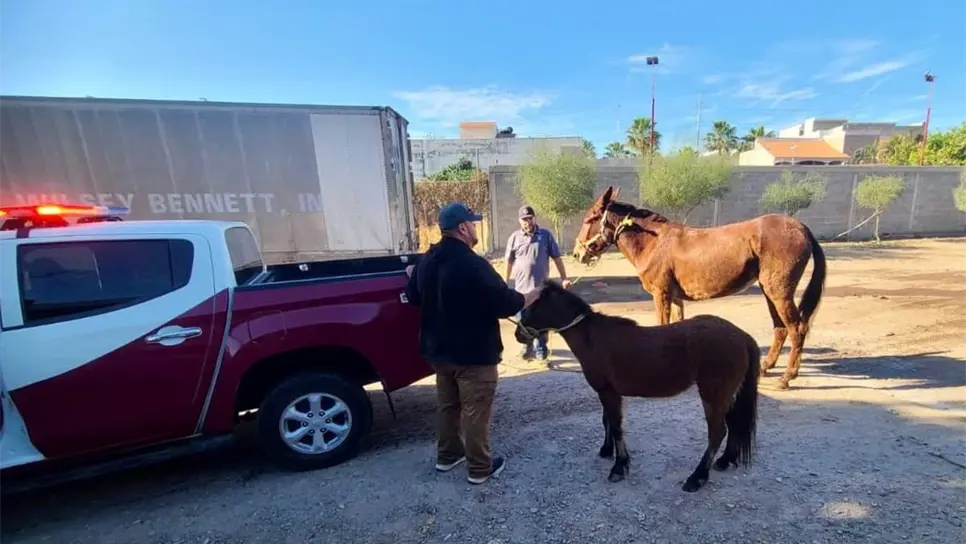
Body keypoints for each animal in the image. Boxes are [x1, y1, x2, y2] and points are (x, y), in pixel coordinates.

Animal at [515, 280, 759, 492]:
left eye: (533, 306)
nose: (518, 334)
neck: (593, 338)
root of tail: (742, 336)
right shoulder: (606, 392)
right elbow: (607, 422)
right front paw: (607, 451)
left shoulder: (609, 393)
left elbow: (616, 427)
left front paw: (619, 467)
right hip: (726, 396)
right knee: (733, 424)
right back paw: (724, 461)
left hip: (713, 395)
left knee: (717, 432)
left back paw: (697, 478)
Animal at [571, 186, 826, 390]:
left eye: (589, 219)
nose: (577, 254)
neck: (654, 242)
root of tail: (801, 227)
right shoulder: (675, 298)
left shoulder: (661, 295)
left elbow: (662, 326)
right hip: (769, 290)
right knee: (780, 328)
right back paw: (766, 367)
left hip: (779, 292)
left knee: (797, 329)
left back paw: (787, 377)